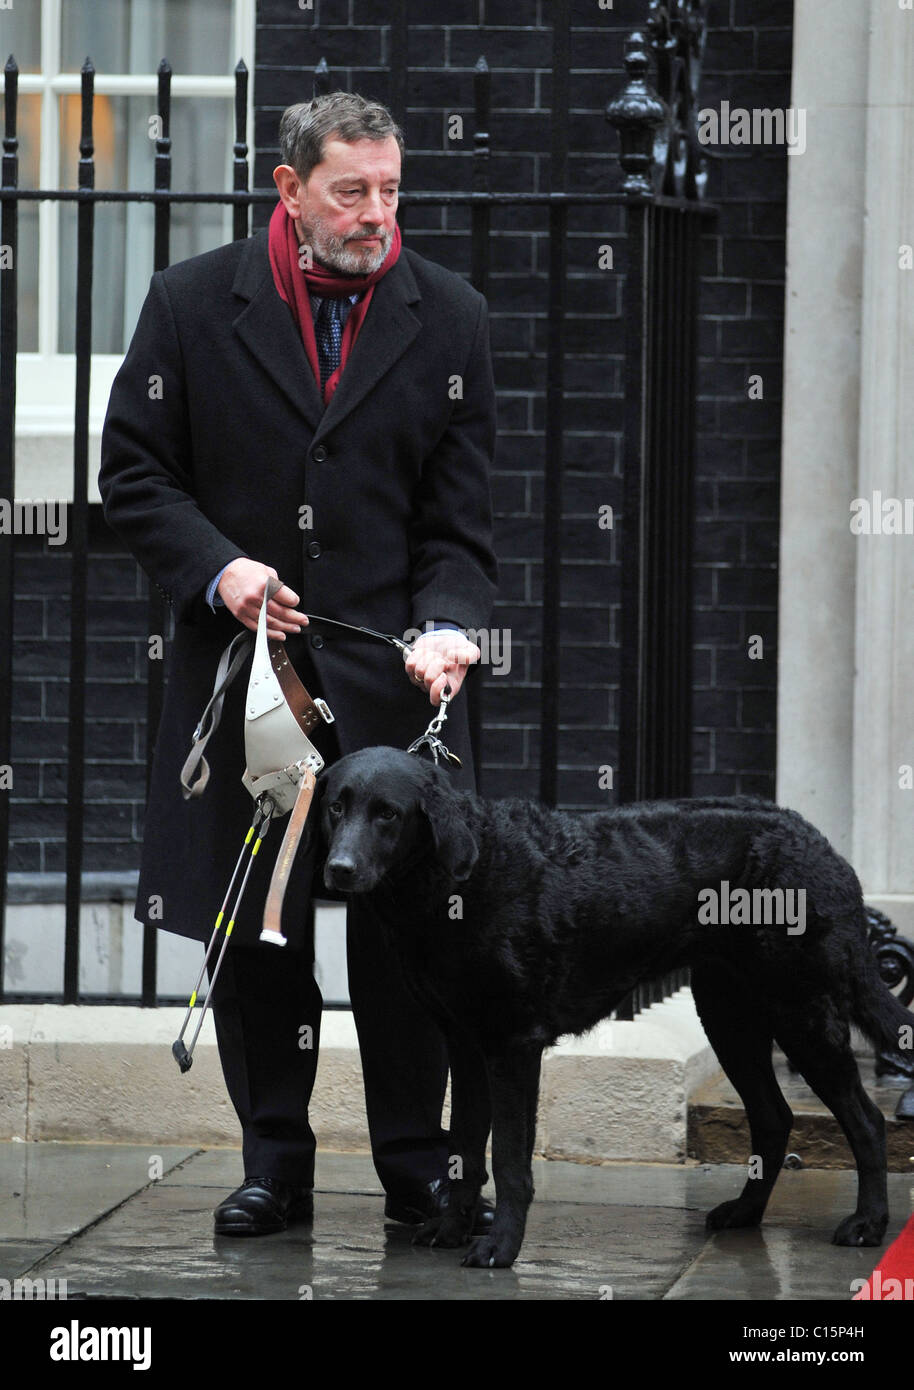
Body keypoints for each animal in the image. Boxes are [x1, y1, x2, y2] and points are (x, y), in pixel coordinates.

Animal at [316, 750, 905, 1273]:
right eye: (336, 807)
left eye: (388, 813)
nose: (338, 870)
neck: (460, 881)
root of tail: (819, 842)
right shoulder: (465, 1043)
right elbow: (463, 1149)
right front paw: (451, 1228)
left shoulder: (512, 1043)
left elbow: (507, 1159)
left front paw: (500, 1248)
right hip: (728, 1016)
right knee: (774, 1118)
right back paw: (745, 1212)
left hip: (802, 1012)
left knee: (867, 1120)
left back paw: (868, 1224)